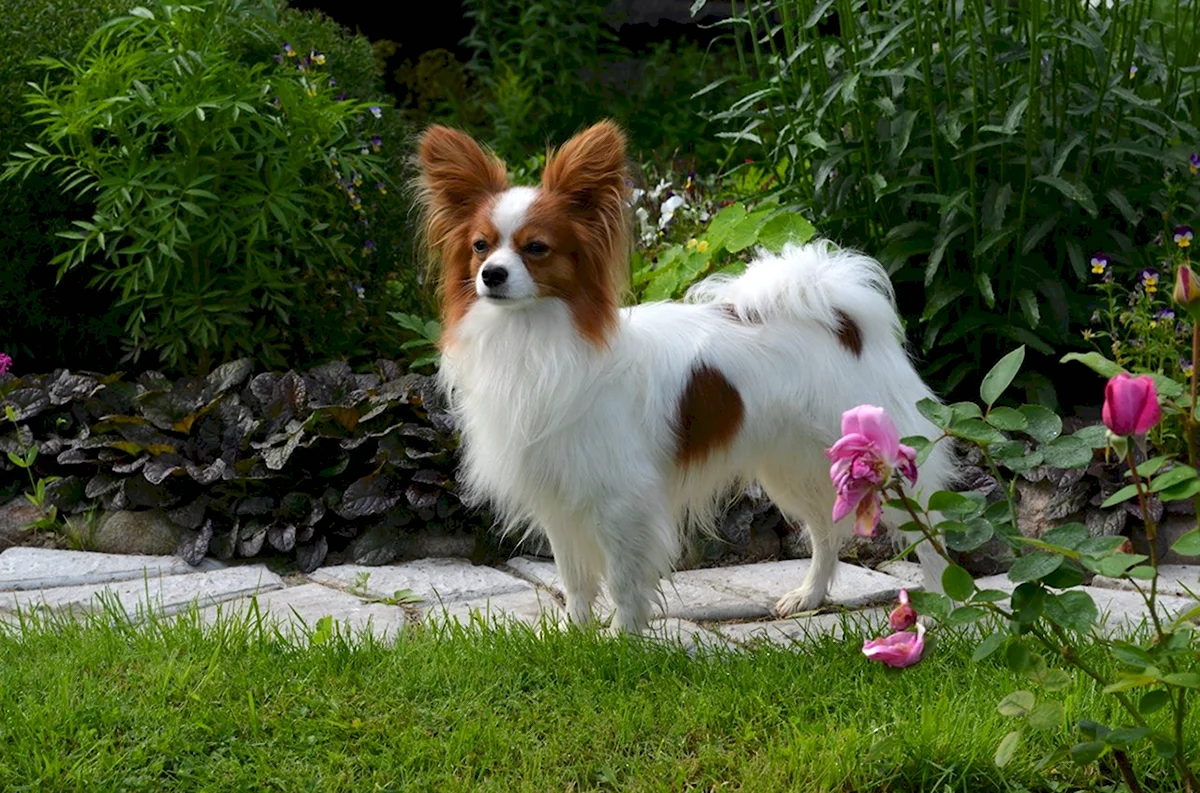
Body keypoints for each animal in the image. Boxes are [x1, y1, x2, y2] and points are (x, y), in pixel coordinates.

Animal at [417, 120, 950, 633]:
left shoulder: (622, 498)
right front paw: (573, 635)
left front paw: (621, 641)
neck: (532, 337)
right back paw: (811, 597)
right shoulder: (559, 494)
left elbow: (624, 580)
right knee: (823, 529)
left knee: (930, 529)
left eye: (536, 248)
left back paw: (943, 610)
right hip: (793, 464)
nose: (491, 274)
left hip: (879, 465)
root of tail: (843, 317)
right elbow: (575, 578)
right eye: (480, 246)